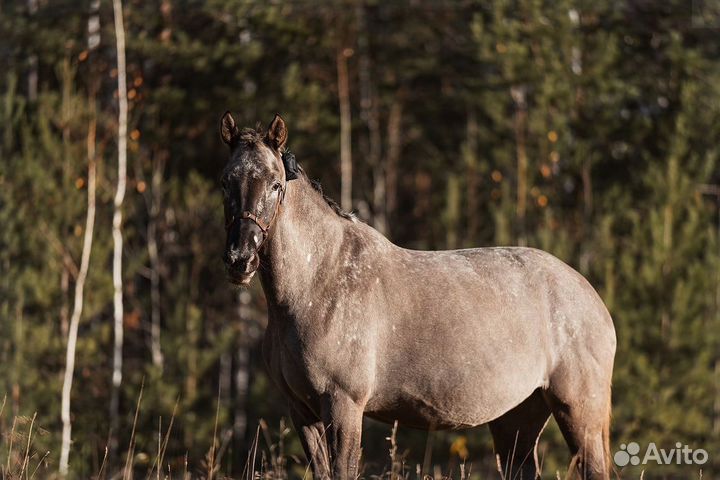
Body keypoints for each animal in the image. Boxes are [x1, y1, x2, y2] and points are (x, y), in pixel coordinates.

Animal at [221, 113, 620, 480]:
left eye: (275, 184)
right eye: (226, 182)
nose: (240, 260)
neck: (318, 281)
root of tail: (591, 297)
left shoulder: (343, 405)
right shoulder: (302, 411)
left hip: (579, 410)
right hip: (518, 418)